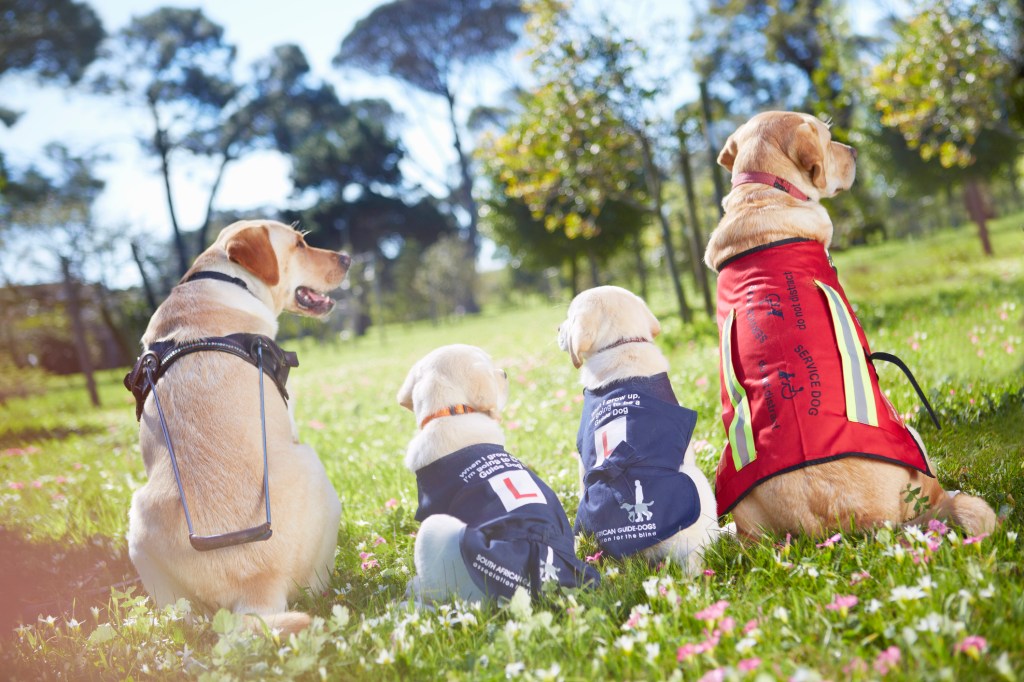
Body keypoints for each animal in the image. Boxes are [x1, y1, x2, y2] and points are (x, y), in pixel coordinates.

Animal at [122, 219, 348, 630]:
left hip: (137, 527)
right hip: (313, 465)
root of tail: (255, 591)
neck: (225, 280)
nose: (347, 258)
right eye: (299, 244)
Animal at [700, 110, 995, 536]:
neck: (762, 194)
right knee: (941, 494)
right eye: (828, 139)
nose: (854, 150)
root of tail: (847, 527)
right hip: (913, 439)